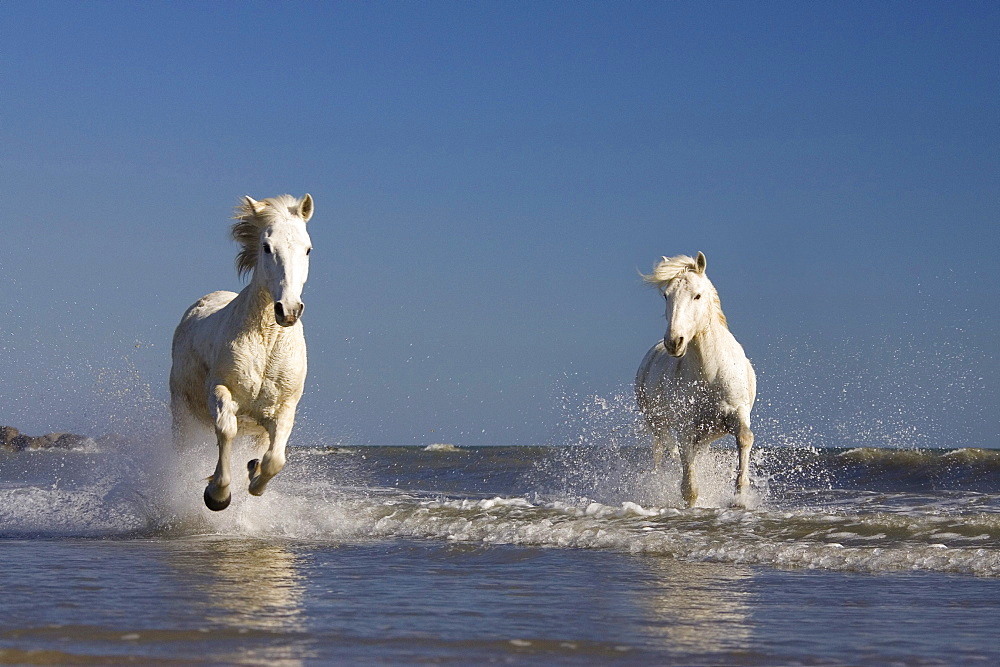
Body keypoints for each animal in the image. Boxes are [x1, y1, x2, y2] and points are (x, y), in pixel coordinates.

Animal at [170, 193, 314, 512]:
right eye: (267, 247)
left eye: (308, 249)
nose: (288, 310)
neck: (268, 342)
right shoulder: (221, 391)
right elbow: (226, 431)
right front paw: (217, 495)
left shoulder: (283, 408)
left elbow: (275, 460)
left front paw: (254, 475)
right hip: (182, 413)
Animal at [636, 253, 752, 508]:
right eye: (666, 295)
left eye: (697, 295)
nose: (674, 342)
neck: (711, 373)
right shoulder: (685, 427)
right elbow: (688, 484)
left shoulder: (737, 412)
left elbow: (744, 438)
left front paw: (740, 497)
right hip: (658, 424)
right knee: (667, 453)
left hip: (707, 433)